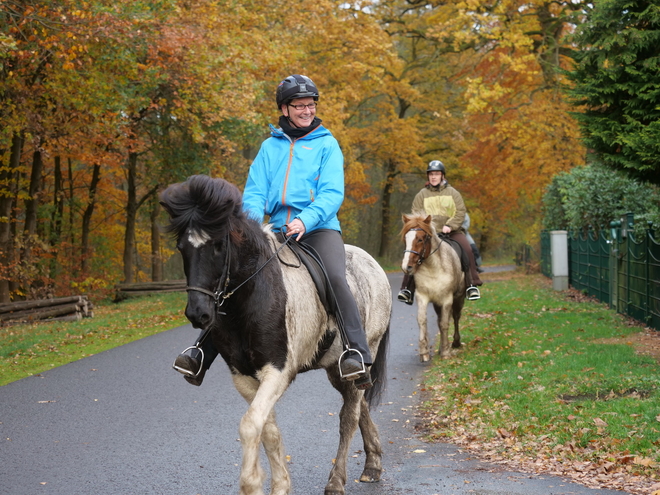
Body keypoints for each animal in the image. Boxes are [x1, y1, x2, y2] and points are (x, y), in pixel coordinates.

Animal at [161, 175, 392, 495]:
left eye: (218, 245)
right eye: (182, 247)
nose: (198, 314)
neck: (251, 297)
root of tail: (374, 265)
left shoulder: (277, 371)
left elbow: (250, 425)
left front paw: (252, 483)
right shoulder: (244, 377)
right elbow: (266, 429)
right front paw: (280, 485)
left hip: (364, 348)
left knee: (349, 416)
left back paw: (336, 481)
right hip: (336, 368)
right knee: (360, 406)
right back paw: (373, 464)